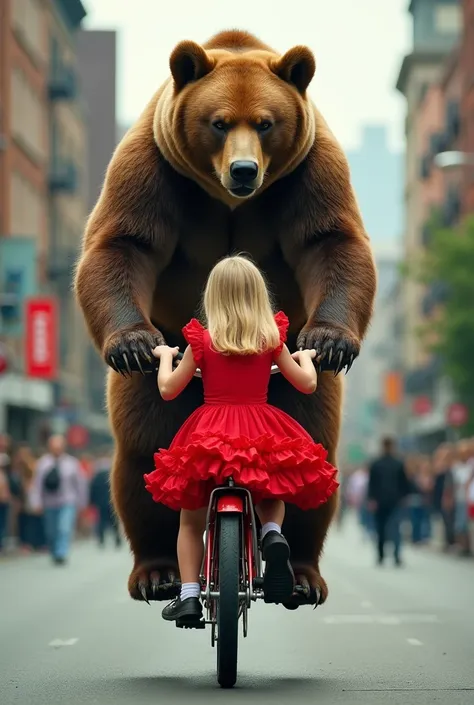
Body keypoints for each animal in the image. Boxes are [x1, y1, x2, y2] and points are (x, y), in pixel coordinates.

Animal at [75, 30, 378, 608]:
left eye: (265, 122)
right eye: (217, 122)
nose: (244, 171)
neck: (226, 199)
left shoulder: (308, 173)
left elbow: (331, 240)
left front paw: (333, 338)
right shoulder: (155, 169)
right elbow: (123, 241)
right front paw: (129, 340)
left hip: (299, 384)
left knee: (315, 449)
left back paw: (300, 573)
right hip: (156, 375)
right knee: (143, 454)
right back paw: (157, 571)